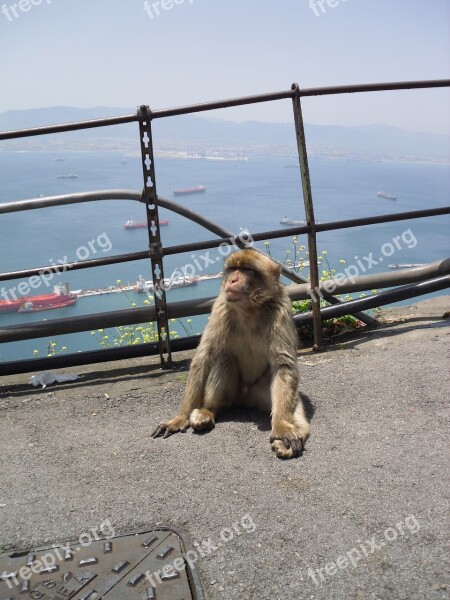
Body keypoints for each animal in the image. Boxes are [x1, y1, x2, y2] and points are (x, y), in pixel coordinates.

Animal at [151, 246, 310, 458]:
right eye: (234, 268)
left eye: (247, 270)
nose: (232, 279)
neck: (249, 309)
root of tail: (244, 399)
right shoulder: (220, 306)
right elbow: (203, 358)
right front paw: (179, 418)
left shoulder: (281, 308)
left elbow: (283, 364)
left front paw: (284, 428)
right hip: (231, 393)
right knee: (224, 360)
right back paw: (206, 412)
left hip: (261, 393)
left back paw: (289, 433)